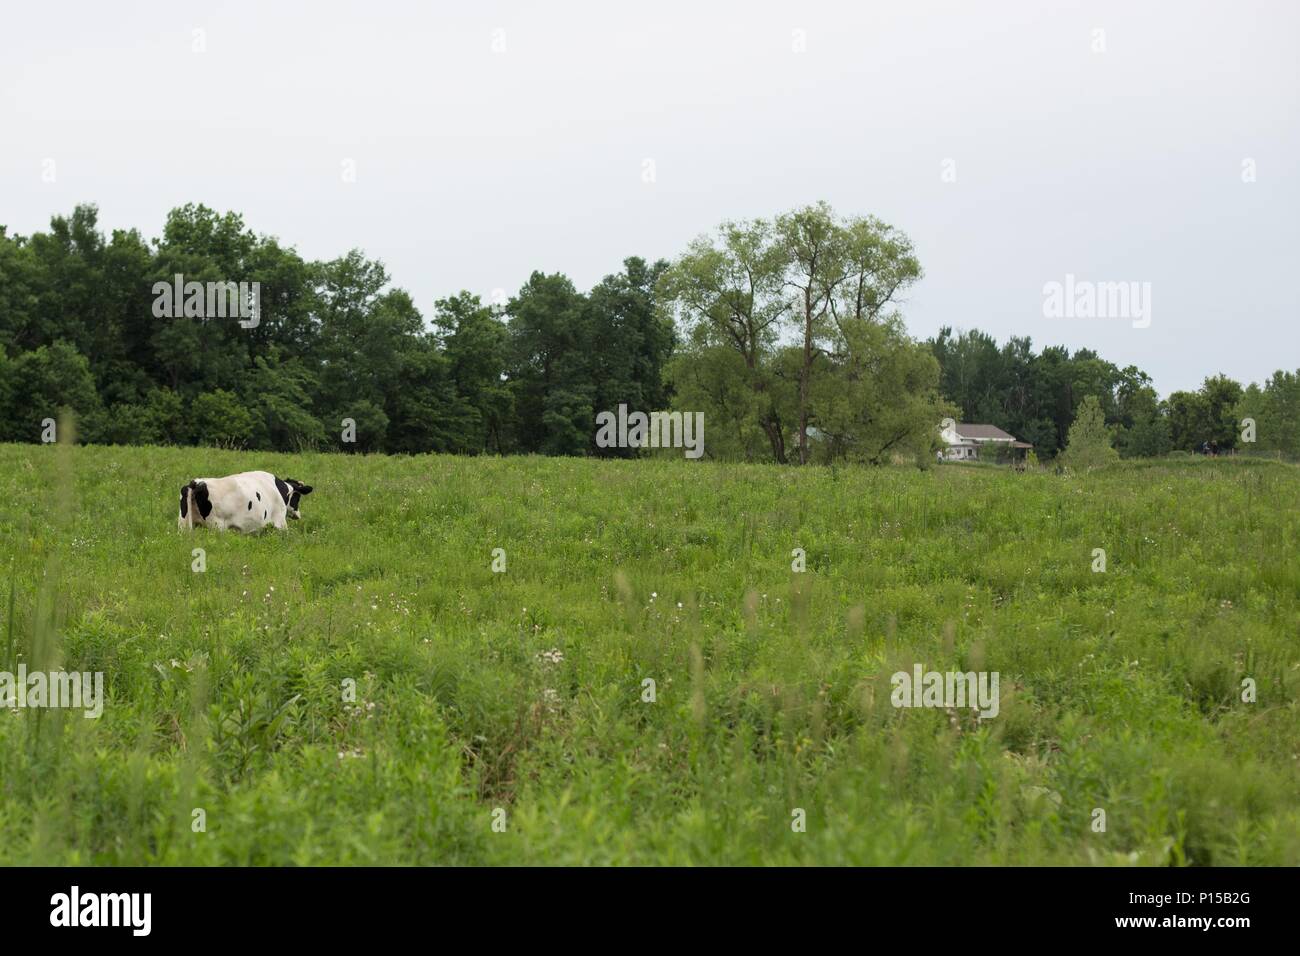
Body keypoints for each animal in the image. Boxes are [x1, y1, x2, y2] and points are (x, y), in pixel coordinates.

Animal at [178, 471, 313, 532]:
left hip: (184, 524)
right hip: (216, 526)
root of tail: (198, 483)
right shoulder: (280, 522)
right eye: (297, 498)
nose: (298, 515)